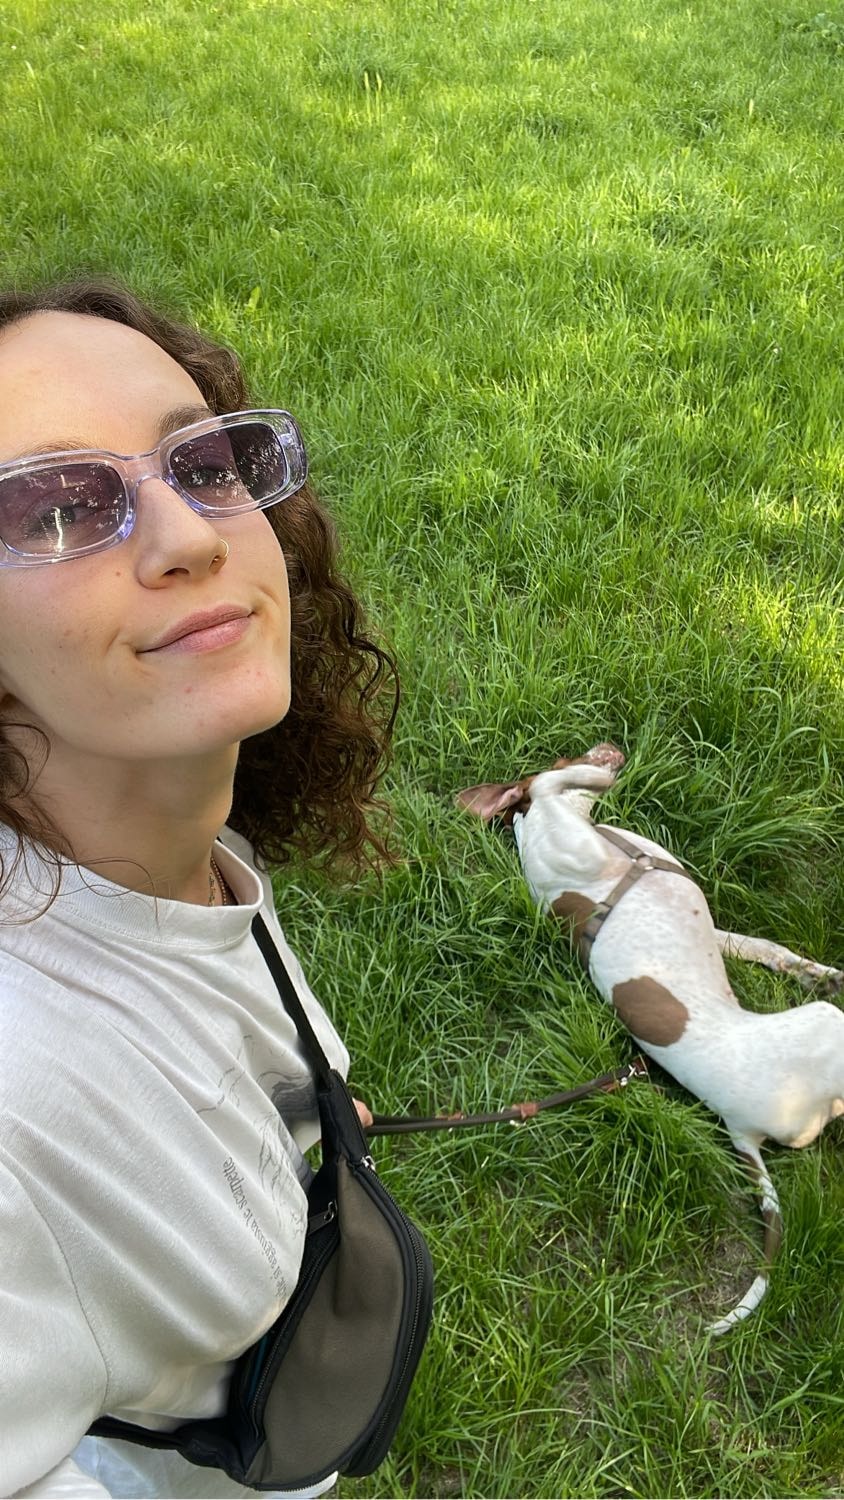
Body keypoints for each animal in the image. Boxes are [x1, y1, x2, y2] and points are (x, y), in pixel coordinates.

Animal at [457, 743, 844, 1332]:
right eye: (564, 749)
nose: (608, 743)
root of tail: (741, 1130)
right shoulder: (561, 818)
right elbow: (566, 781)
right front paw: (604, 771)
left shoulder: (717, 930)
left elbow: (767, 949)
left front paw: (815, 970)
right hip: (827, 1028)